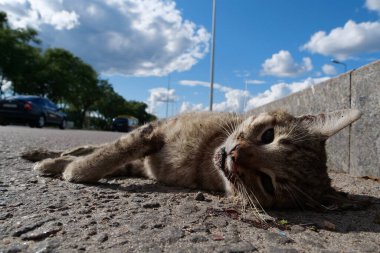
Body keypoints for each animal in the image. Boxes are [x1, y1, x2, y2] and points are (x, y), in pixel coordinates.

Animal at [22, 108, 360, 210]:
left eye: (267, 183)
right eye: (268, 135)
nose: (235, 154)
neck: (202, 156)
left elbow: (110, 156)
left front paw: (73, 170)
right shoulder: (152, 131)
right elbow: (111, 150)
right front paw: (76, 169)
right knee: (83, 147)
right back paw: (42, 155)